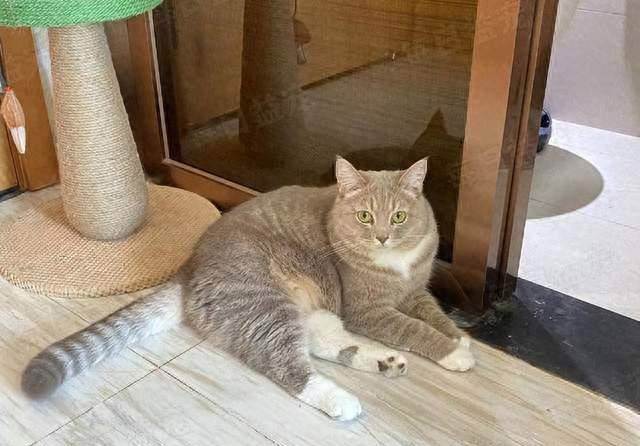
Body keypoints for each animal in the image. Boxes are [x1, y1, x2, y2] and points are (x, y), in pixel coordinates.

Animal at [22, 157, 474, 421]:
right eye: (364, 216)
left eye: (398, 217)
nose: (381, 237)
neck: (396, 264)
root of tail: (189, 267)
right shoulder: (368, 310)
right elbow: (414, 328)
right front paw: (454, 352)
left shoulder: (416, 291)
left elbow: (434, 315)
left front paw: (461, 339)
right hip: (264, 304)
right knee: (287, 364)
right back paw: (340, 400)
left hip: (308, 309)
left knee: (323, 343)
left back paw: (383, 363)